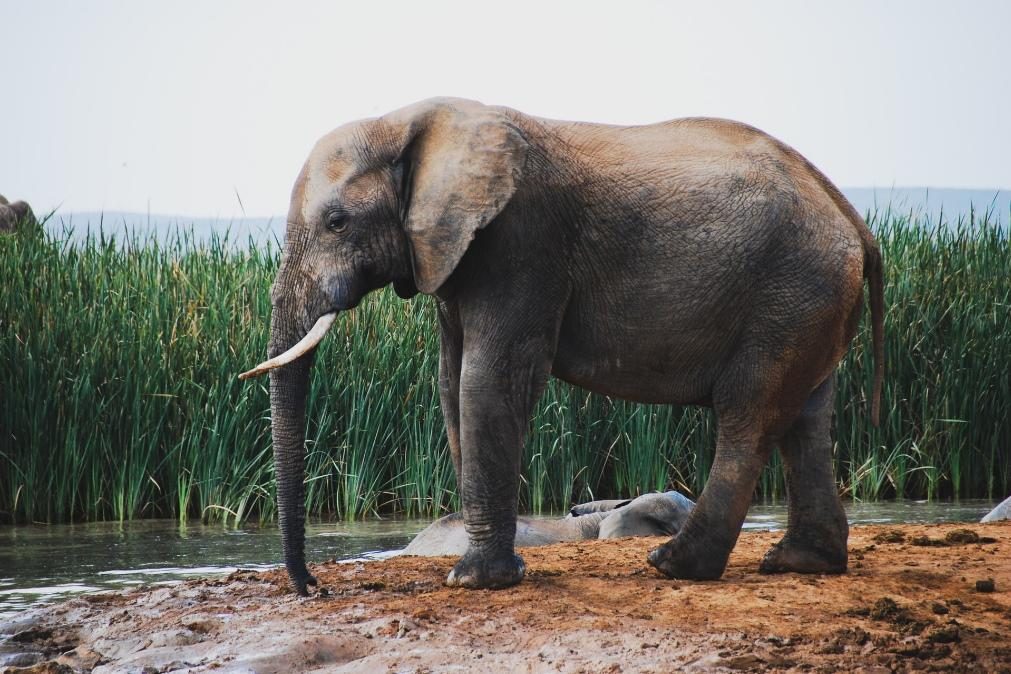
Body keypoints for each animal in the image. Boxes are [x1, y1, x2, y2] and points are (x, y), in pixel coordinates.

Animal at [238, 95, 885, 594]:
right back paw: (800, 563)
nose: (314, 587)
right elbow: (450, 383)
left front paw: (476, 581)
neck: (408, 121)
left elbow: (487, 381)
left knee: (749, 415)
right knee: (806, 418)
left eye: (337, 223)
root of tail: (852, 217)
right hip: (810, 300)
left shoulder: (522, 242)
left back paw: (674, 567)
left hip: (789, 289)